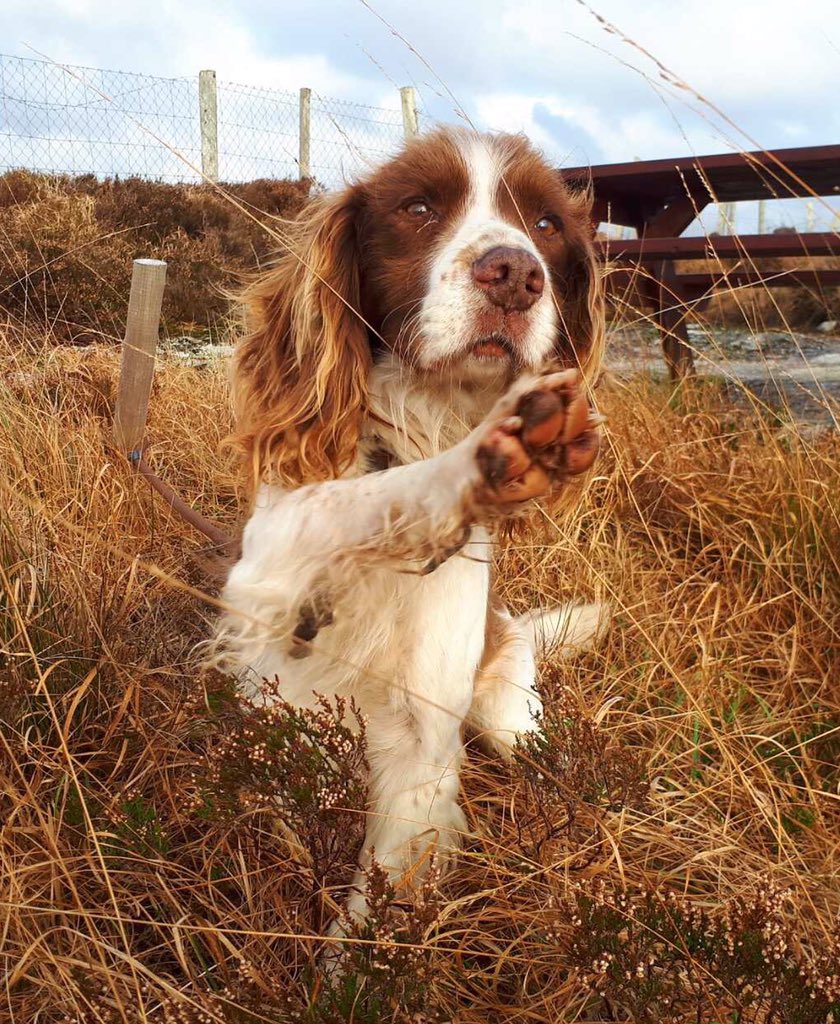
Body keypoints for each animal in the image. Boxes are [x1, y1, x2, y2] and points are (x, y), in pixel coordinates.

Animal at [215, 125, 610, 921]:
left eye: (547, 224)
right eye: (419, 207)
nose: (515, 275)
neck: (431, 416)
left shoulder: (421, 750)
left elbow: (372, 921)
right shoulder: (266, 569)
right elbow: (360, 498)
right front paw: (474, 464)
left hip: (508, 716)